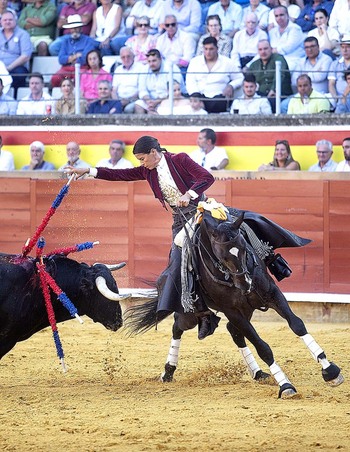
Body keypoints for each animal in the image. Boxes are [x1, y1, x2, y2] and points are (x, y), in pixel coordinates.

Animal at [124, 210, 344, 398]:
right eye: (222, 256)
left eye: (245, 248)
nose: (245, 284)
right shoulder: (232, 310)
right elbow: (262, 346)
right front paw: (285, 385)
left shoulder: (272, 294)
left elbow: (297, 324)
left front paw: (330, 370)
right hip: (193, 315)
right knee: (178, 327)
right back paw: (168, 371)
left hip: (248, 308)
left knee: (234, 331)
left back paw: (257, 373)